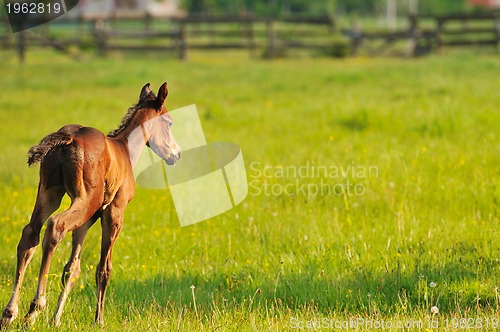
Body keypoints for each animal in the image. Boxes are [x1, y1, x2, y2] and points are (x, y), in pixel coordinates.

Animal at [0, 82, 180, 326]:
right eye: (169, 122)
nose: (176, 154)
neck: (125, 149)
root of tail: (68, 137)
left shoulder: (87, 222)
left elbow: (72, 268)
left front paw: (56, 319)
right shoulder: (114, 213)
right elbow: (104, 269)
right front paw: (99, 320)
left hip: (50, 193)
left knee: (31, 234)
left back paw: (10, 312)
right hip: (85, 199)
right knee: (55, 226)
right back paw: (35, 308)